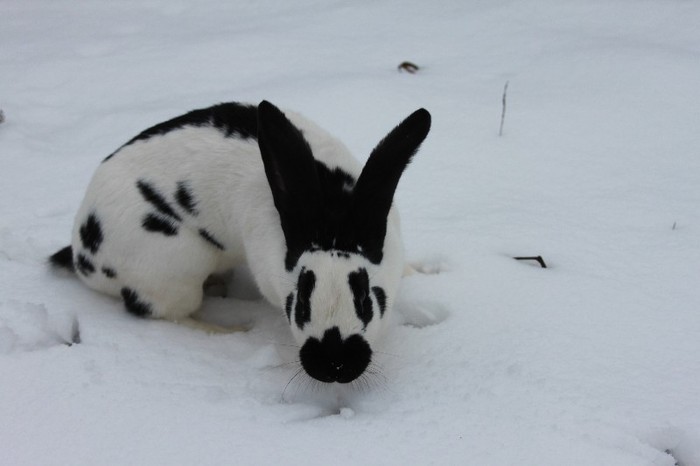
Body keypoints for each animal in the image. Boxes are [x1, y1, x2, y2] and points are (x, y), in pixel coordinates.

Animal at [49, 101, 430, 382]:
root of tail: (81, 251)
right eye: (299, 302)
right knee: (160, 311)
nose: (335, 365)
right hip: (173, 265)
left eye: (367, 299)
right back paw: (228, 330)